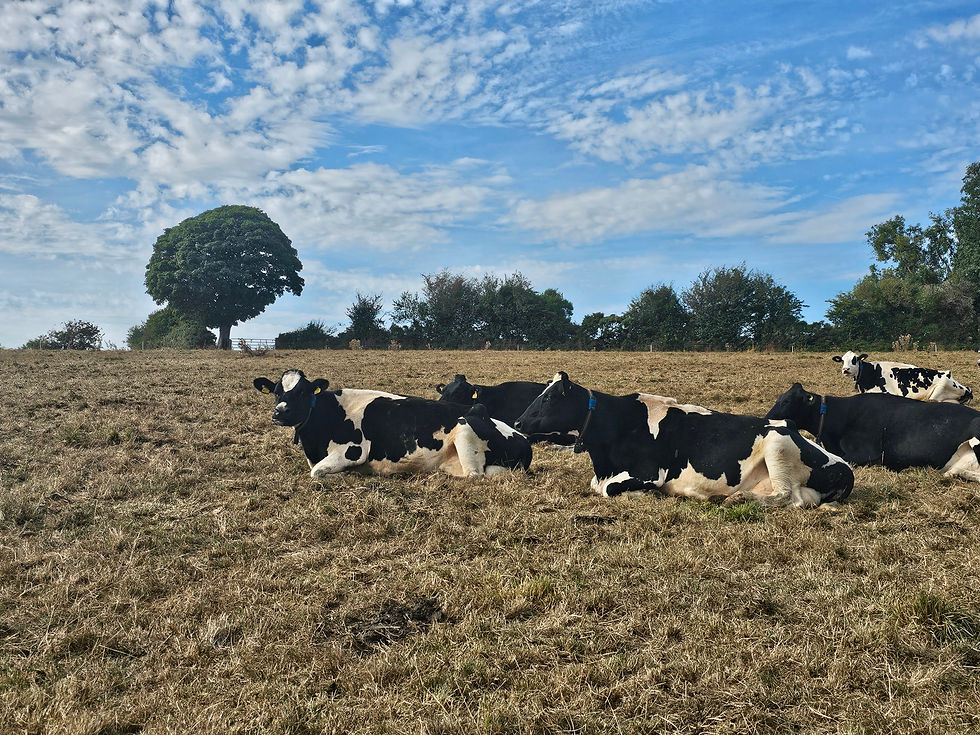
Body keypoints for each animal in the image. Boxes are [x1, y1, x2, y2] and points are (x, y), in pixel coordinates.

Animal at [254, 370, 532, 479]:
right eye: (276, 392)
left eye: (301, 393)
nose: (279, 413)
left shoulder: (353, 451)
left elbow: (317, 473)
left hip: (465, 428)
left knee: (475, 475)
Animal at [513, 372, 853, 507]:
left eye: (549, 398)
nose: (516, 422)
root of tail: (845, 467)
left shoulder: (651, 473)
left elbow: (610, 490)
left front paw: (645, 496)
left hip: (777, 445)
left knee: (787, 496)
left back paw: (735, 499)